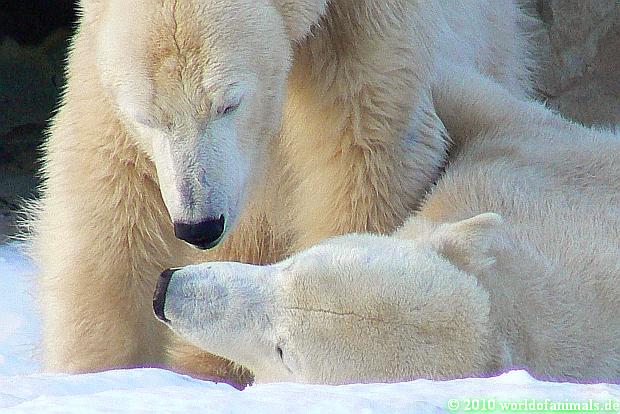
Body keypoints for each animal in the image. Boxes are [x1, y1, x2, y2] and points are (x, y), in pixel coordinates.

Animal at [30, 0, 536, 388]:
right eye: (149, 116)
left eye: (229, 103)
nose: (199, 225)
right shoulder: (96, 58)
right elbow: (106, 195)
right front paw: (103, 370)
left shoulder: (368, 36)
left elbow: (364, 162)